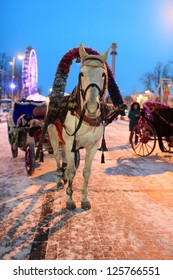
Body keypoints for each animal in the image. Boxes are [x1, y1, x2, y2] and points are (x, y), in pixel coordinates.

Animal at [47, 43, 109, 210]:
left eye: (103, 74)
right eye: (81, 73)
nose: (92, 106)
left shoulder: (92, 146)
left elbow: (86, 172)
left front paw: (84, 199)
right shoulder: (70, 144)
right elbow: (71, 171)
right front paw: (69, 200)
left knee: (64, 159)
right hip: (54, 138)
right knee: (57, 158)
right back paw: (59, 179)